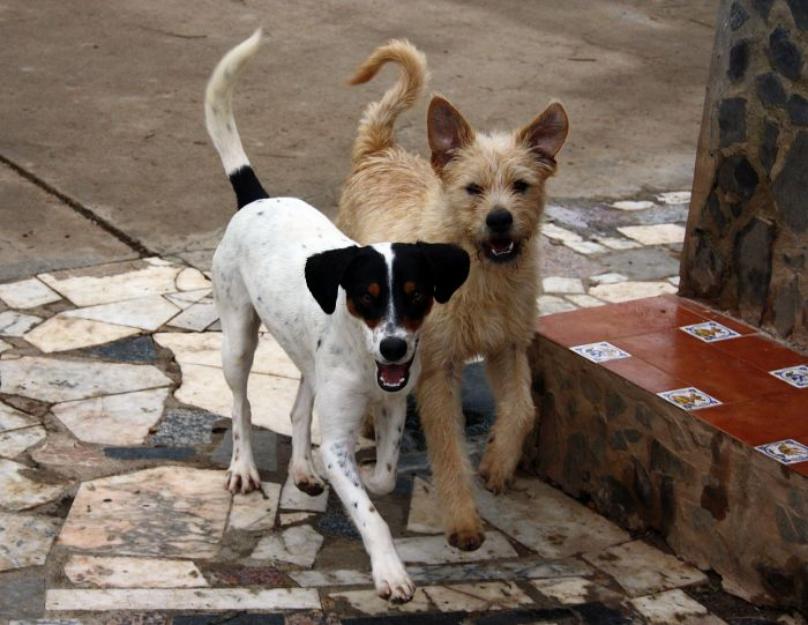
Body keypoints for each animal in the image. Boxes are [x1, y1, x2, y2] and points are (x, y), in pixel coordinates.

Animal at [204, 31, 468, 604]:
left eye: (416, 296)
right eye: (366, 296)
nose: (394, 348)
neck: (367, 361)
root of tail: (257, 198)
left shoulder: (392, 406)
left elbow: (385, 475)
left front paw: (364, 478)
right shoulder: (343, 432)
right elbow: (371, 516)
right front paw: (389, 570)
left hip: (306, 357)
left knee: (300, 407)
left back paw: (302, 467)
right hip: (237, 339)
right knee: (240, 403)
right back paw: (244, 467)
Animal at [334, 40, 568, 552]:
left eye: (521, 186)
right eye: (473, 188)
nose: (500, 219)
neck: (480, 276)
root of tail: (379, 150)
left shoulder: (508, 348)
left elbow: (522, 410)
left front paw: (498, 463)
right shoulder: (438, 371)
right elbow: (448, 451)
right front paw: (462, 521)